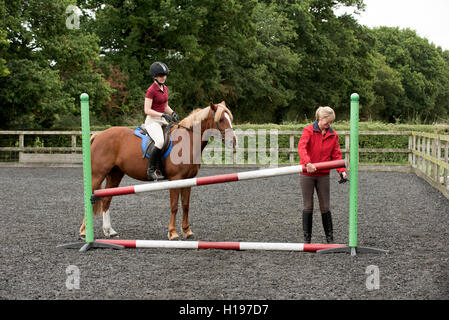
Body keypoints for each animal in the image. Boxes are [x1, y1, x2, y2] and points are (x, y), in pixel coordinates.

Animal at [78, 102, 236, 240]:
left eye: (230, 118)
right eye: (221, 119)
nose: (233, 142)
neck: (187, 142)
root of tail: (98, 135)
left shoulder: (189, 180)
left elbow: (185, 206)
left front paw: (187, 231)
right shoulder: (175, 179)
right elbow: (174, 206)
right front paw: (172, 233)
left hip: (115, 174)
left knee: (106, 199)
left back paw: (109, 231)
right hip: (97, 175)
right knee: (89, 200)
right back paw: (84, 232)